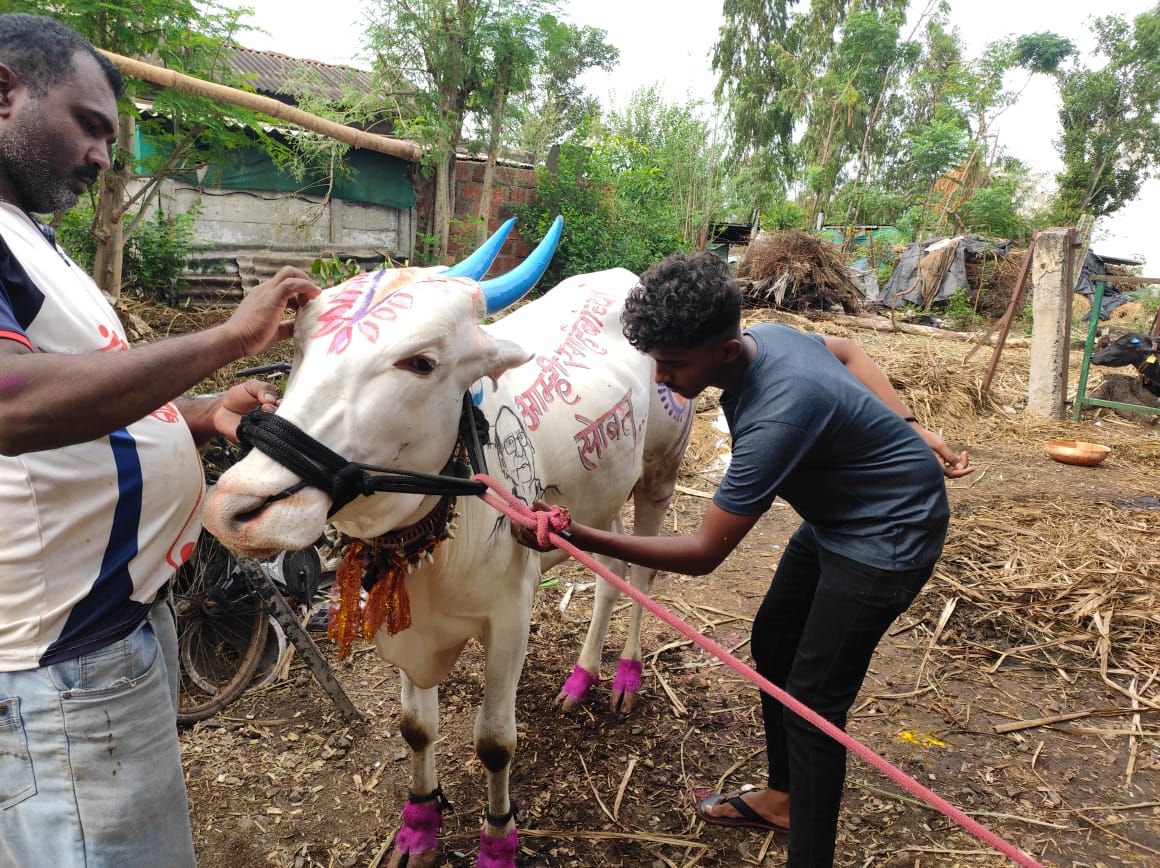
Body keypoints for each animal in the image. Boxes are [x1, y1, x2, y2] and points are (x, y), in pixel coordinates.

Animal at [200, 221, 691, 868]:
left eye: (421, 362)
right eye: (299, 347)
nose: (237, 510)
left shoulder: (510, 616)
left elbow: (495, 742)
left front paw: (498, 841)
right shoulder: (408, 622)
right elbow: (415, 727)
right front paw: (418, 828)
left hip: (660, 473)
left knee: (638, 578)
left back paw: (626, 677)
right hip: (602, 496)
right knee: (607, 574)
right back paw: (581, 678)